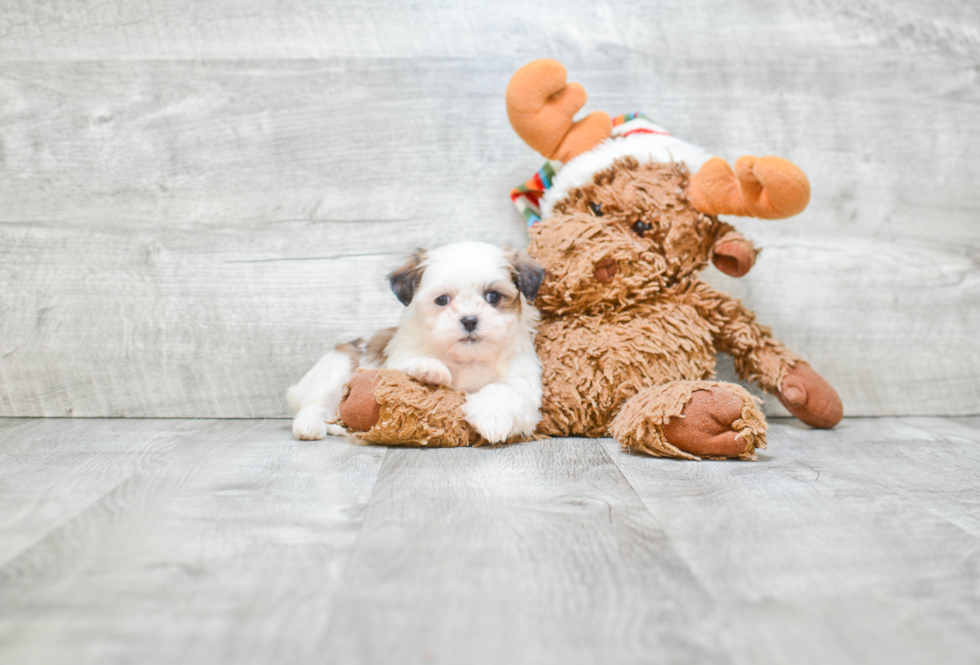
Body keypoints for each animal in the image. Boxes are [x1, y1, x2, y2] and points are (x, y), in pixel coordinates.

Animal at [284, 241, 548, 444]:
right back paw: (309, 426)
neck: (467, 358)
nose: (470, 320)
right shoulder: (398, 358)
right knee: (316, 404)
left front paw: (491, 418)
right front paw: (430, 369)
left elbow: (504, 390)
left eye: (493, 296)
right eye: (442, 300)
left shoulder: (524, 384)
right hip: (337, 367)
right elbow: (407, 366)